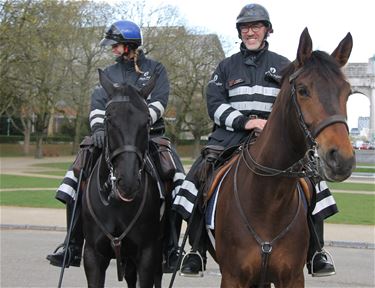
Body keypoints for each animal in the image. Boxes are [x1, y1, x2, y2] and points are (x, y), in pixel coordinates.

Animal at [81, 70, 164, 288]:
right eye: (109, 118)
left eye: (147, 121)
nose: (128, 182)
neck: (116, 204)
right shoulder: (93, 256)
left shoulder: (147, 255)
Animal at [214, 27, 356, 288]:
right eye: (303, 90)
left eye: (347, 92)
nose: (341, 159)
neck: (269, 199)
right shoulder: (232, 277)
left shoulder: (291, 277)